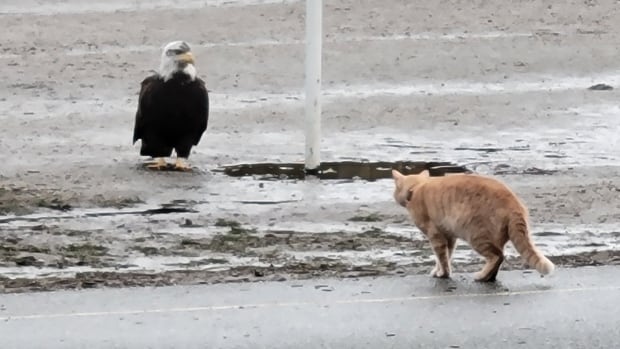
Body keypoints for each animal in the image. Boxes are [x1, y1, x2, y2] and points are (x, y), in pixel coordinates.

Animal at [390, 169, 556, 280]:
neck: (416, 188)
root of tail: (514, 204)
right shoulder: (449, 237)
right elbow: (446, 256)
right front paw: (439, 271)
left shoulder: (435, 235)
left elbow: (442, 258)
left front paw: (443, 274)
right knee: (499, 257)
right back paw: (488, 277)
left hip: (476, 235)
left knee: (497, 256)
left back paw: (482, 276)